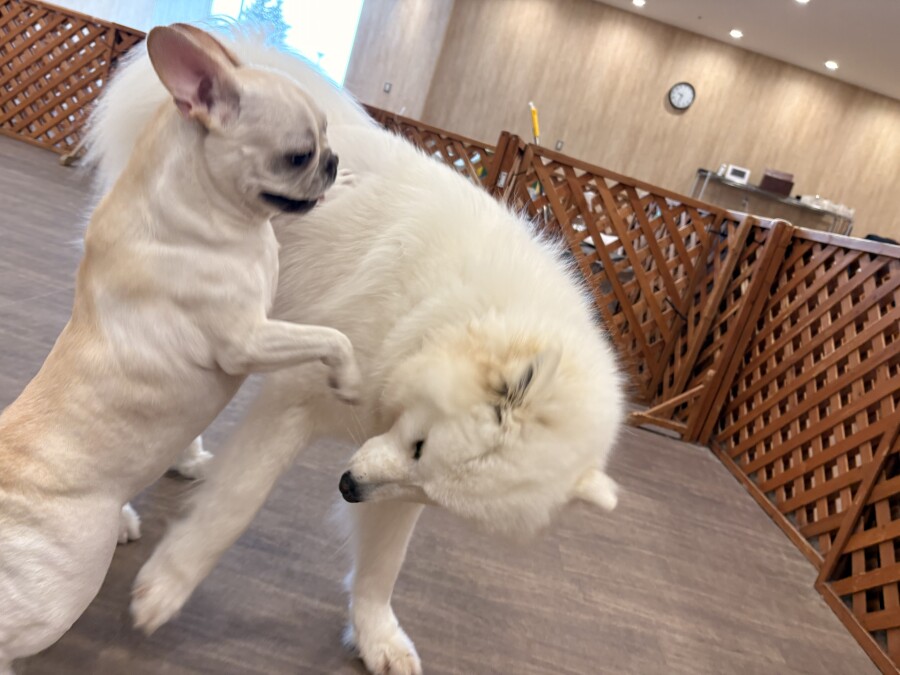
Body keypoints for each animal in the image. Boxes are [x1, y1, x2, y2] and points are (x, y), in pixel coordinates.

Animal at [0, 24, 360, 673]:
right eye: (298, 154)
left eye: (326, 142)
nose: (333, 161)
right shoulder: (249, 338)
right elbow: (331, 338)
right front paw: (349, 378)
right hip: (63, 585)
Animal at [85, 29, 623, 675]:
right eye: (419, 445)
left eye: (429, 482)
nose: (346, 488)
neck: (442, 312)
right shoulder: (294, 403)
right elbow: (235, 504)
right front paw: (165, 588)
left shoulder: (389, 479)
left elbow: (383, 566)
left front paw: (376, 638)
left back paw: (183, 457)